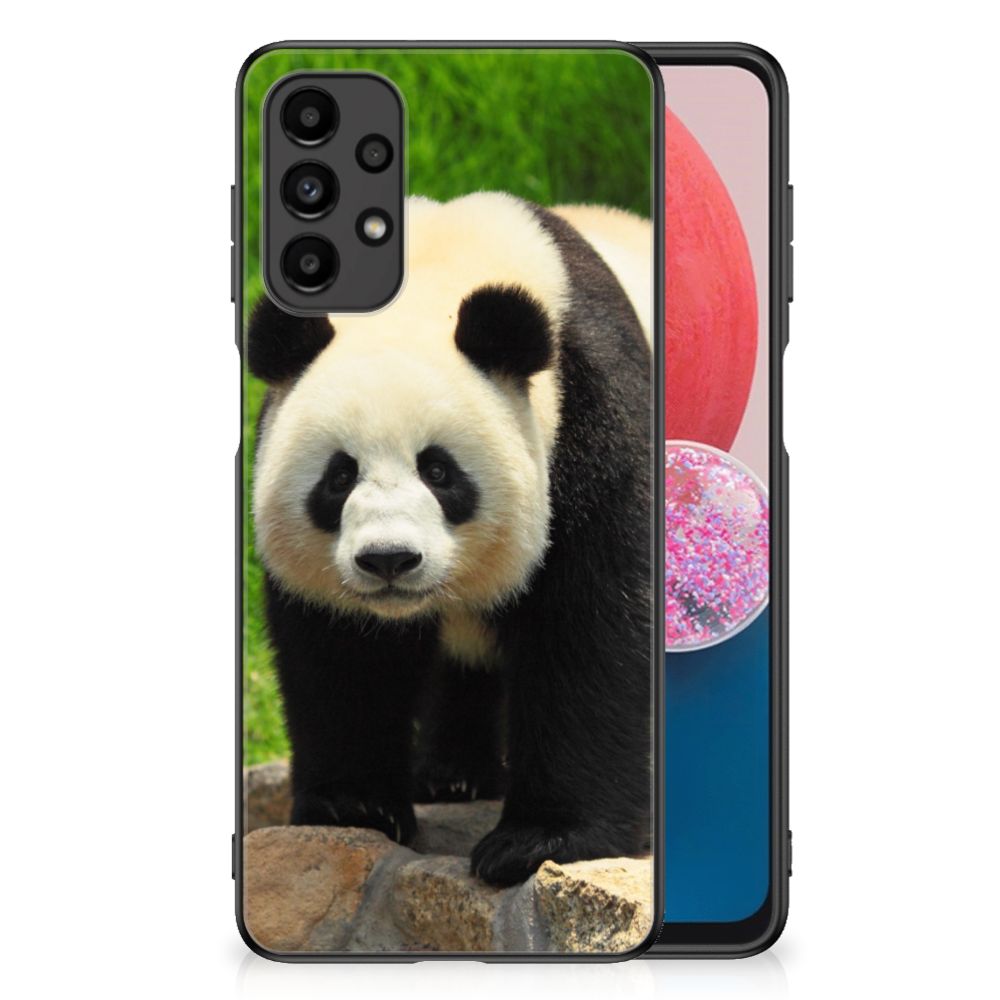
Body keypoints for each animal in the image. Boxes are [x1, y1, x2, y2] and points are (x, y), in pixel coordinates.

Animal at [249, 192, 653, 887]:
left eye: (438, 471)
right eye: (338, 476)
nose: (389, 560)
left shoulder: (593, 420)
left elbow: (591, 627)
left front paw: (540, 840)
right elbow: (341, 654)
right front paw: (355, 807)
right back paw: (453, 776)